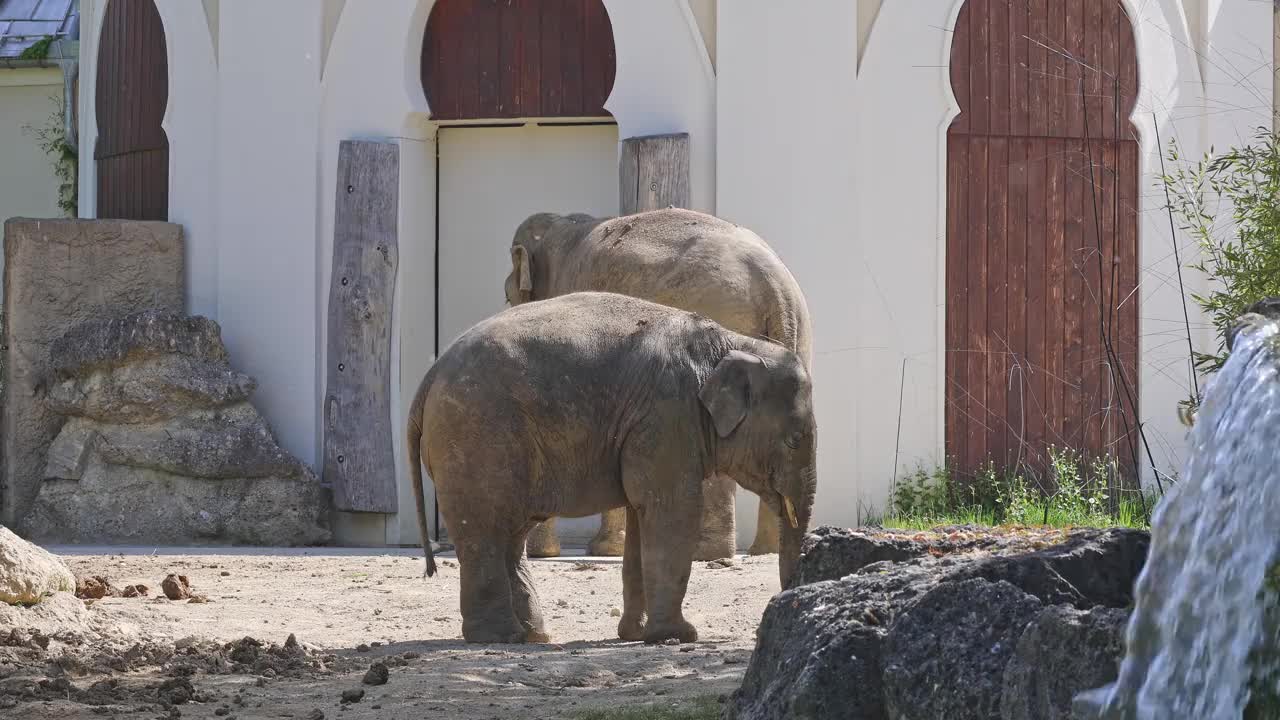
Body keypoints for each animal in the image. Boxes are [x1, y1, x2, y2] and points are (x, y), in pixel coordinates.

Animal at [404, 288, 814, 640]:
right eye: (794, 440)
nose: (776, 608)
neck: (732, 343)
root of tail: (427, 380)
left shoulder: (651, 427)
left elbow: (641, 513)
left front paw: (637, 635)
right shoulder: (667, 415)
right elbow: (672, 510)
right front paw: (679, 635)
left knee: (510, 533)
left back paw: (535, 636)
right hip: (475, 439)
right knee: (485, 530)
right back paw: (503, 637)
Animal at [499, 204, 808, 558]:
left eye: (507, 297)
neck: (561, 226)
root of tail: (776, 290)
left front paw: (551, 553)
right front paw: (607, 550)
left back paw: (708, 553)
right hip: (798, 334)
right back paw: (762, 551)